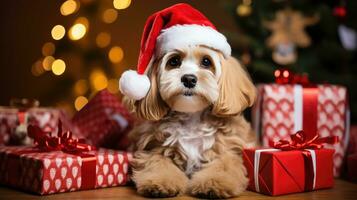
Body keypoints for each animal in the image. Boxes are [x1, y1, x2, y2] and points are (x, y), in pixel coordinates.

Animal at [123, 44, 256, 198]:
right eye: (174, 61)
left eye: (206, 61)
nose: (188, 79)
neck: (192, 116)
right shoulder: (153, 148)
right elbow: (158, 162)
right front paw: (160, 182)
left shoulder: (227, 152)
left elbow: (222, 166)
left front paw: (214, 183)